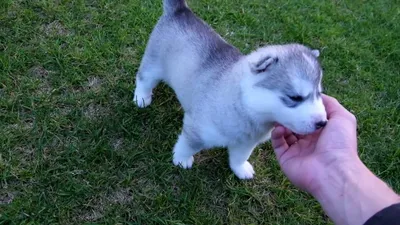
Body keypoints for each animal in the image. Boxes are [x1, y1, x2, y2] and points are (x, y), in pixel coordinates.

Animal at [133, 0, 326, 179]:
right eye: (295, 97)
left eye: (319, 93)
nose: (322, 123)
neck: (245, 105)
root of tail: (181, 11)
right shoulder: (198, 129)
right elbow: (188, 145)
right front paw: (181, 159)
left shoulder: (247, 143)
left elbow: (240, 157)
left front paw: (241, 169)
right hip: (154, 63)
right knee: (144, 78)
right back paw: (141, 98)